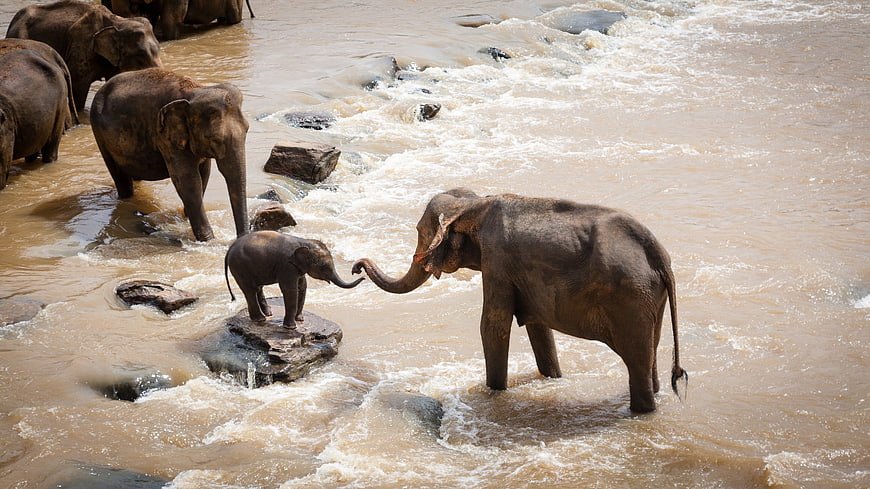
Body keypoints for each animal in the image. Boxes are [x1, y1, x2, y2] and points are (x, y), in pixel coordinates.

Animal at [90, 68, 249, 241]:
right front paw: (208, 240)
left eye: (247, 129)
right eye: (215, 138)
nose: (239, 238)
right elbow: (187, 180)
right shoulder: (165, 135)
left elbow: (204, 174)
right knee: (120, 177)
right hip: (99, 134)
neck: (196, 90)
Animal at [225, 231, 365, 328]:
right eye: (323, 267)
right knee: (250, 290)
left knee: (257, 288)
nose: (360, 273)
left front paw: (300, 319)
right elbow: (290, 290)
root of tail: (229, 249)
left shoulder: (298, 267)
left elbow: (302, 287)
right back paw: (260, 319)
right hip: (239, 267)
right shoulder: (287, 266)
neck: (304, 242)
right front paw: (291, 327)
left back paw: (268, 313)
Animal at [353, 188, 688, 413]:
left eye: (420, 232)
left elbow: (492, 326)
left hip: (631, 298)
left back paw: (641, 411)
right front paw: (552, 378)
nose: (356, 267)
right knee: (650, 353)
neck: (475, 204)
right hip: (649, 299)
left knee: (637, 360)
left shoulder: (497, 261)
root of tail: (659, 255)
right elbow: (539, 327)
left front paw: (494, 392)